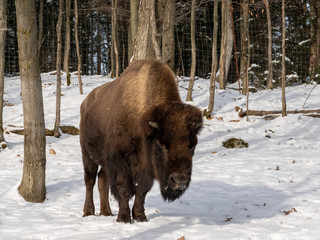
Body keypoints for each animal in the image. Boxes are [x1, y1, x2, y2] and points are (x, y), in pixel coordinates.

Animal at [79, 58, 202, 223]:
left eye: (192, 145)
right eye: (162, 144)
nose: (180, 181)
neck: (144, 123)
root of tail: (85, 103)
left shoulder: (145, 166)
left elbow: (141, 190)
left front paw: (140, 216)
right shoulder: (120, 160)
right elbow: (124, 187)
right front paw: (124, 218)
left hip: (104, 162)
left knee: (102, 180)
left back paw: (106, 212)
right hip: (88, 154)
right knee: (90, 180)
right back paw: (88, 212)